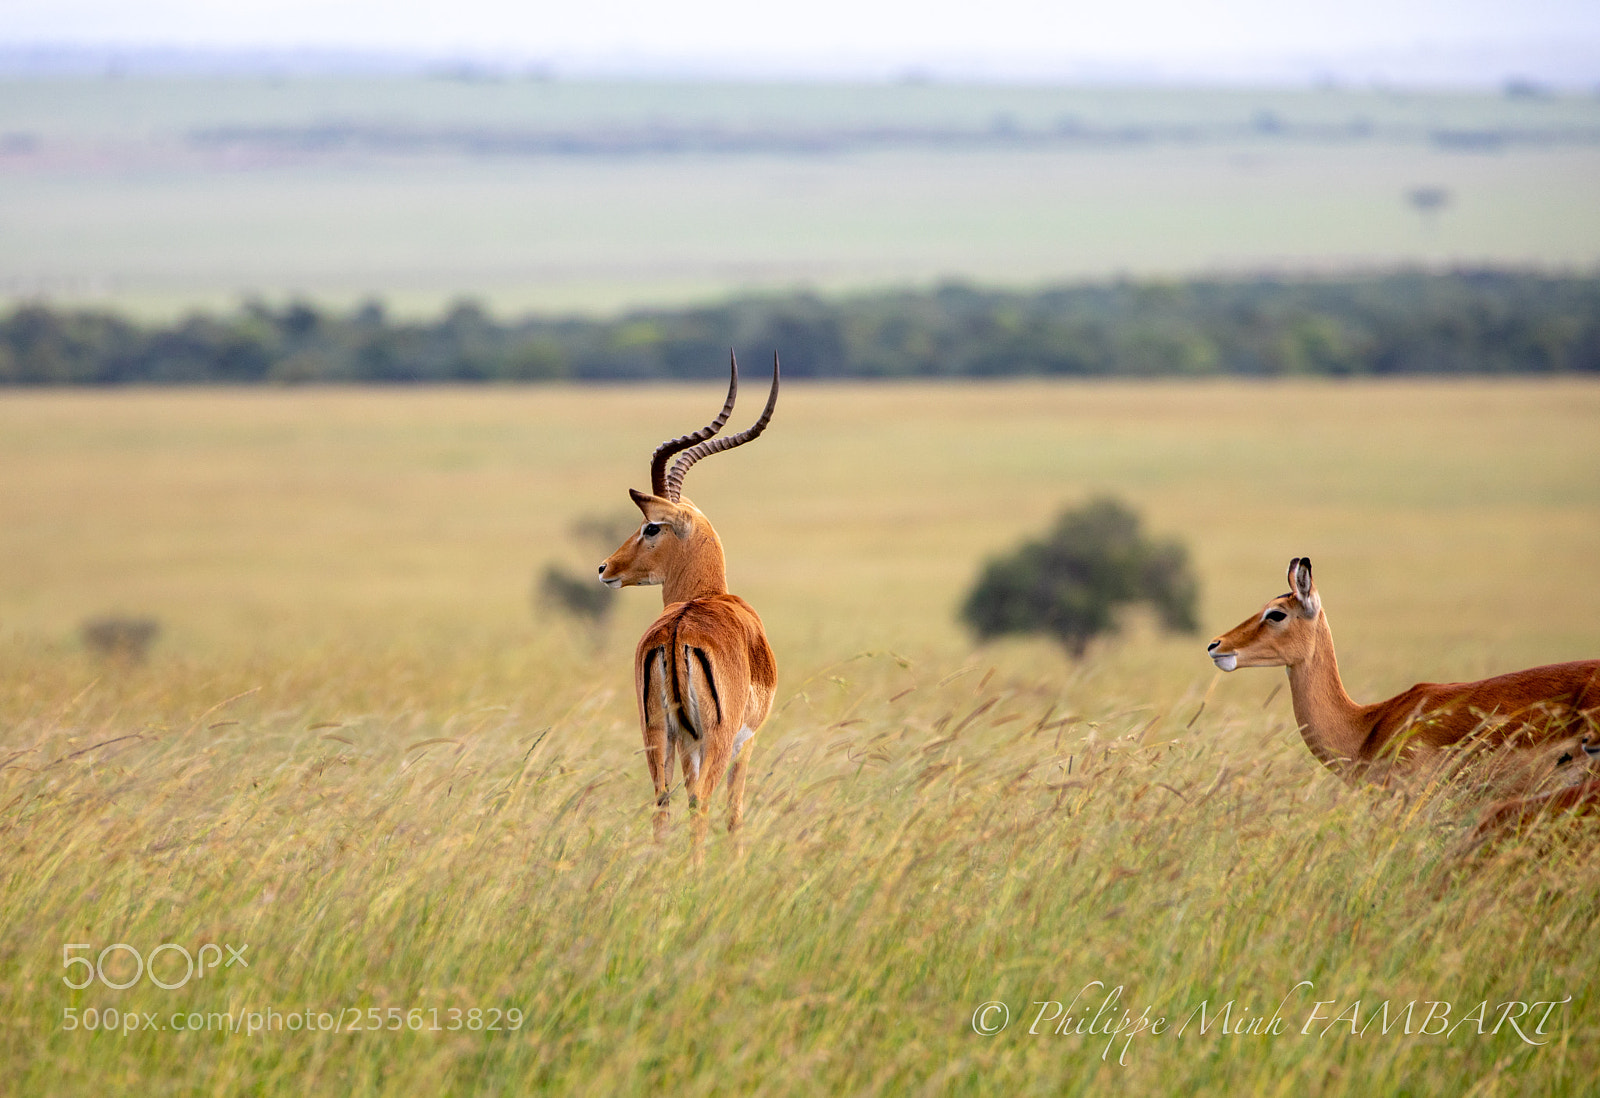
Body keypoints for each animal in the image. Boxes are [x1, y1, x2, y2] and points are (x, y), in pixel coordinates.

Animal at [598, 353, 780, 842]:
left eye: (650, 527)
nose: (605, 568)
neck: (709, 594)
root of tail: (678, 630)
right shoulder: (746, 740)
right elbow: (735, 814)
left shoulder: (685, 741)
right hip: (713, 739)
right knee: (701, 805)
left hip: (658, 734)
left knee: (662, 805)